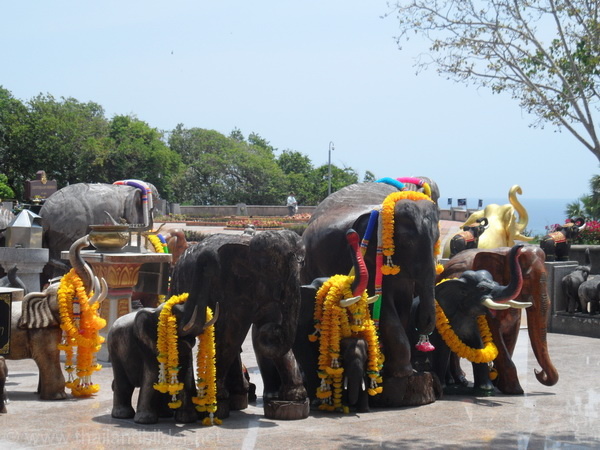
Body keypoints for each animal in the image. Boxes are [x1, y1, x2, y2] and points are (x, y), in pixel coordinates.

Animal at [4, 236, 106, 400]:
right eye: (70, 296)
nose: (87, 240)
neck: (42, 295)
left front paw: (40, 393)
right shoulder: (41, 331)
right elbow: (49, 356)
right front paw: (58, 397)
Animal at [170, 230, 308, 420]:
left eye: (303, 263)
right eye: (273, 265)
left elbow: (275, 329)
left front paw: (295, 397)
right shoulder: (233, 288)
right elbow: (233, 332)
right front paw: (216, 397)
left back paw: (238, 395)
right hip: (180, 282)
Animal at [304, 180, 440, 408]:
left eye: (437, 240)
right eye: (407, 241)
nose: (425, 325)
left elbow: (403, 305)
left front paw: (403, 370)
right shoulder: (369, 258)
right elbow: (383, 307)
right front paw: (403, 373)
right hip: (309, 260)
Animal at [418, 244, 528, 396]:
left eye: (496, 282)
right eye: (482, 288)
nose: (520, 246)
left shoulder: (470, 323)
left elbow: (478, 345)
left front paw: (486, 390)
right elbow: (441, 349)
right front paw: (442, 388)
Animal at [438, 244, 560, 396]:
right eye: (526, 276)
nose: (538, 372)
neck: (503, 252)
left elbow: (512, 334)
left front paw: (499, 384)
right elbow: (495, 336)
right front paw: (515, 390)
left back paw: (460, 380)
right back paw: (455, 381)